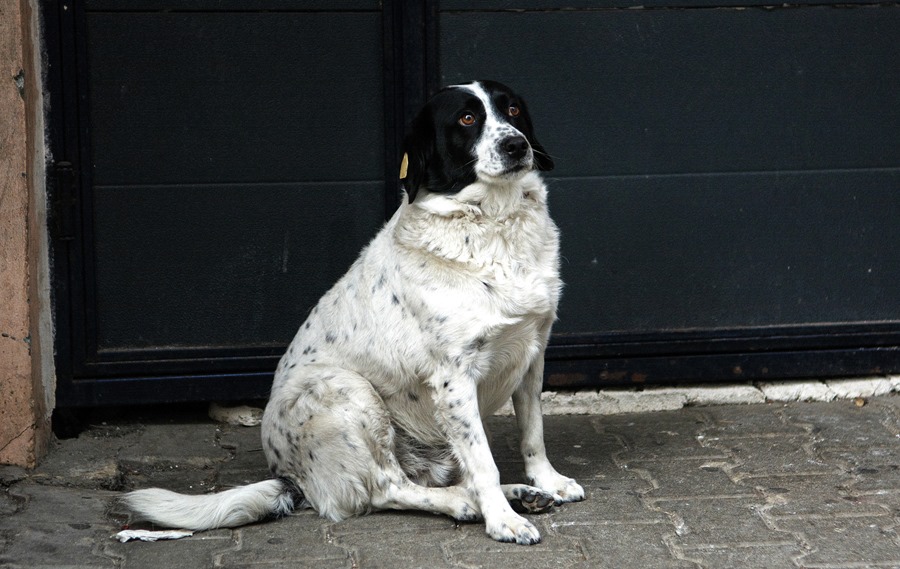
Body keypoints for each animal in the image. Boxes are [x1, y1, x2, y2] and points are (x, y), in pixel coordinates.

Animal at [123, 79, 584, 540]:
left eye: (513, 110)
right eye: (467, 118)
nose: (516, 145)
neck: (493, 223)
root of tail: (288, 477)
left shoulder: (533, 352)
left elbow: (533, 432)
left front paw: (547, 480)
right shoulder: (454, 376)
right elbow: (483, 460)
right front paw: (502, 520)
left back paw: (521, 493)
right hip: (345, 390)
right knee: (387, 487)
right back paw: (467, 503)